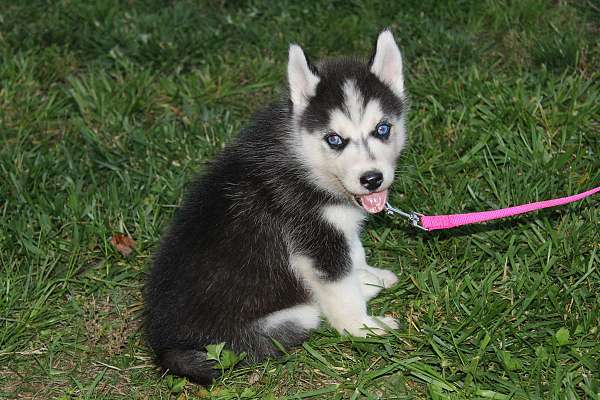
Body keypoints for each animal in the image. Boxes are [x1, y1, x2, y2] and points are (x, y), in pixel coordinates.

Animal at [145, 29, 408, 382]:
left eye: (382, 129)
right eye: (334, 139)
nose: (372, 179)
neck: (306, 163)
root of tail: (164, 347)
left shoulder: (336, 227)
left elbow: (354, 254)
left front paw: (368, 277)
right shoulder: (313, 238)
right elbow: (339, 287)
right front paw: (364, 328)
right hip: (282, 323)